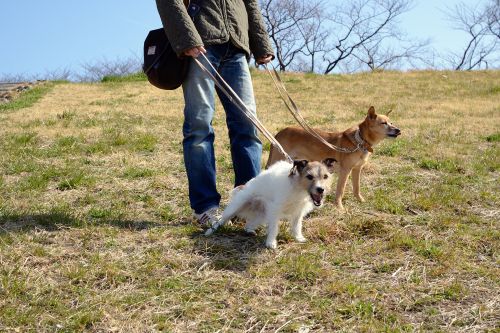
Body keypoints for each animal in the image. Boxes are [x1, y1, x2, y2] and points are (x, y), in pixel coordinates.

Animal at [203, 159, 336, 249]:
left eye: (325, 176)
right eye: (309, 176)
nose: (321, 189)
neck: (298, 188)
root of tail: (244, 187)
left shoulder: (298, 213)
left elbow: (297, 226)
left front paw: (298, 238)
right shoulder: (275, 210)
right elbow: (274, 228)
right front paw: (271, 243)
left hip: (262, 215)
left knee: (248, 224)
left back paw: (250, 231)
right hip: (235, 208)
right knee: (220, 220)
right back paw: (210, 232)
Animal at [266, 105, 402, 210]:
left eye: (391, 122)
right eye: (383, 123)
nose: (398, 130)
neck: (360, 141)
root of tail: (279, 133)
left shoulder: (357, 169)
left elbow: (356, 188)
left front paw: (360, 201)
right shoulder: (345, 171)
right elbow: (340, 190)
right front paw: (339, 207)